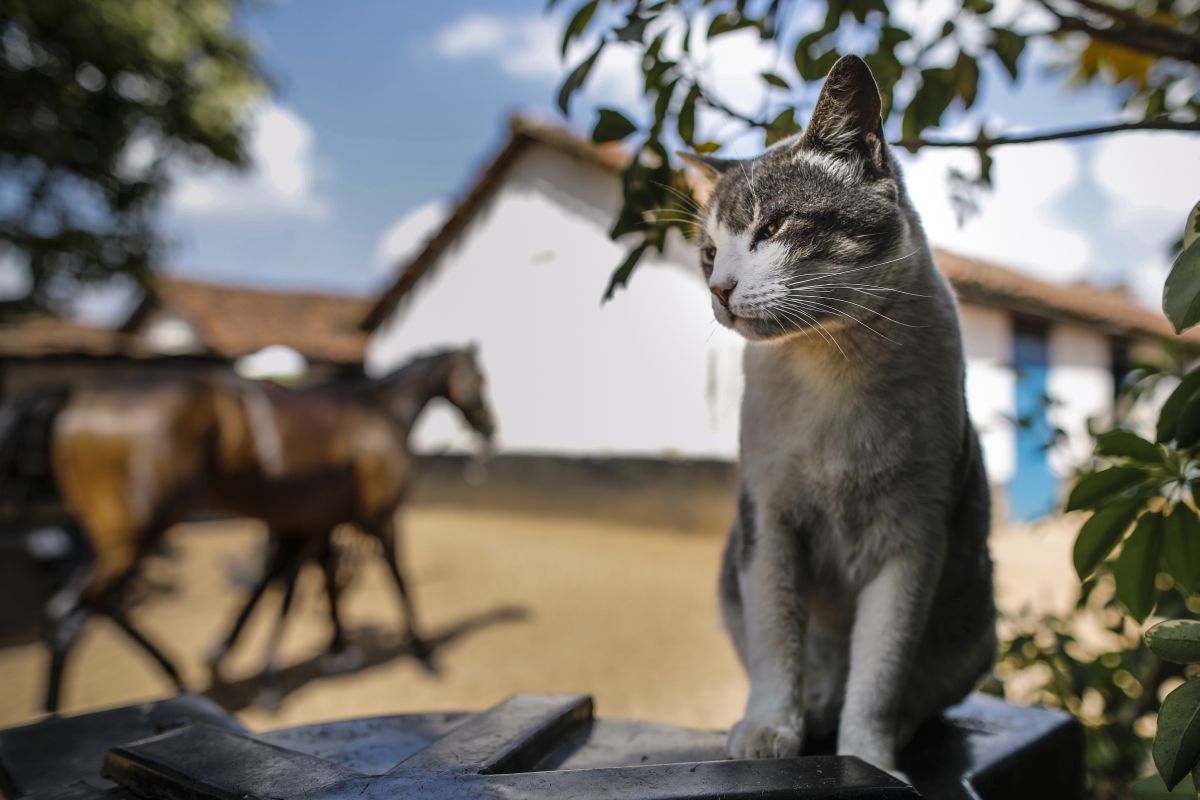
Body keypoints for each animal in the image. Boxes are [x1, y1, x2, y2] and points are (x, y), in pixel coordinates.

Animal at [42, 347, 492, 710]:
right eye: (480, 378)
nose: (490, 427)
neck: (380, 413)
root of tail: (77, 402)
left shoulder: (313, 523)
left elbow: (299, 583)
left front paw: (332, 650)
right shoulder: (379, 518)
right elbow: (395, 579)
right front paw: (425, 655)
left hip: (120, 539)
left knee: (96, 606)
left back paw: (175, 674)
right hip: (135, 535)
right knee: (75, 614)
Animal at [686, 53, 993, 772]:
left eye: (773, 227)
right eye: (708, 253)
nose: (719, 289)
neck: (833, 366)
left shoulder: (915, 537)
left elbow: (880, 671)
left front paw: (869, 760)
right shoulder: (768, 519)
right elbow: (776, 640)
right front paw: (769, 732)